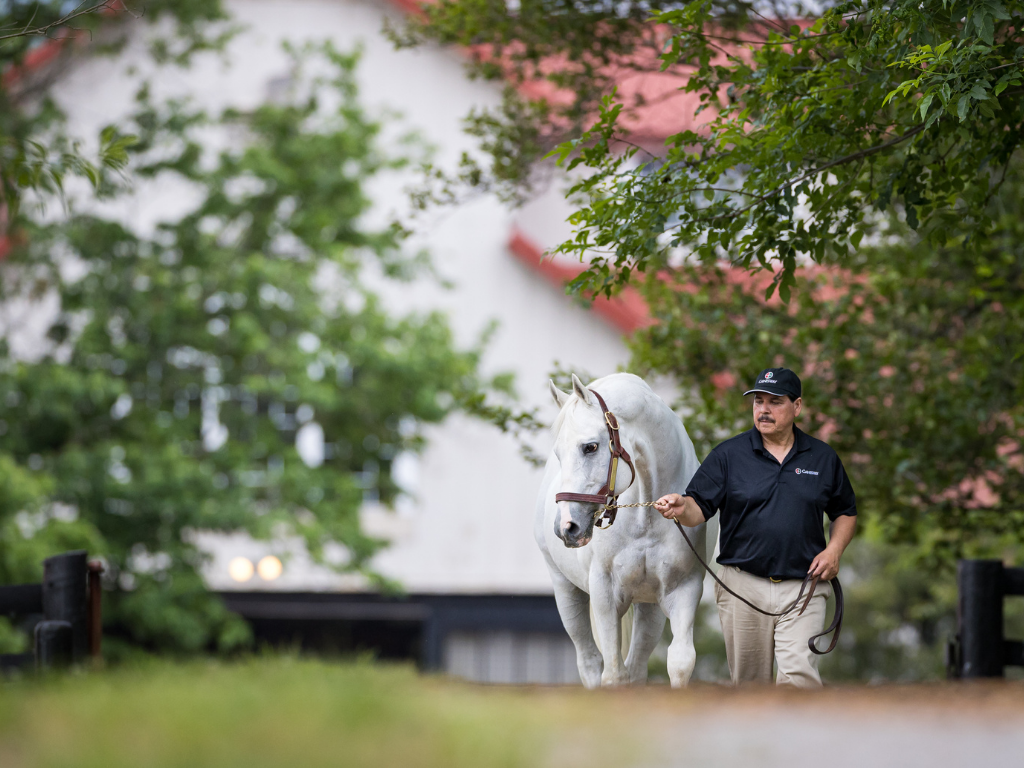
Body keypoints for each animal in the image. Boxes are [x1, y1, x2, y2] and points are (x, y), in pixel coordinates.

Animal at [540, 376, 716, 688]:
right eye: (558, 454)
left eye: (590, 447)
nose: (566, 527)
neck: (644, 517)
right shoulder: (604, 594)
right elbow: (613, 676)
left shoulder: (684, 589)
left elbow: (680, 662)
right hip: (566, 590)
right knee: (590, 662)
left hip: (649, 606)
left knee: (636, 666)